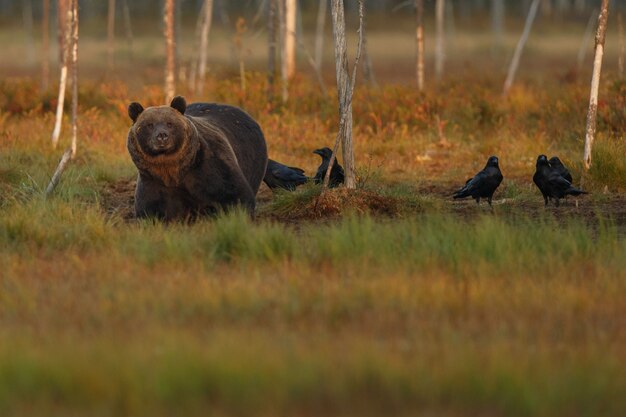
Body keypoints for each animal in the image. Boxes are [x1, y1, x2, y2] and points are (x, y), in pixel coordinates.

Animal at [127, 96, 266, 221]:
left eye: (169, 123)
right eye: (149, 125)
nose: (162, 136)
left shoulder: (209, 167)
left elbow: (234, 193)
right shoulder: (153, 180)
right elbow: (151, 208)